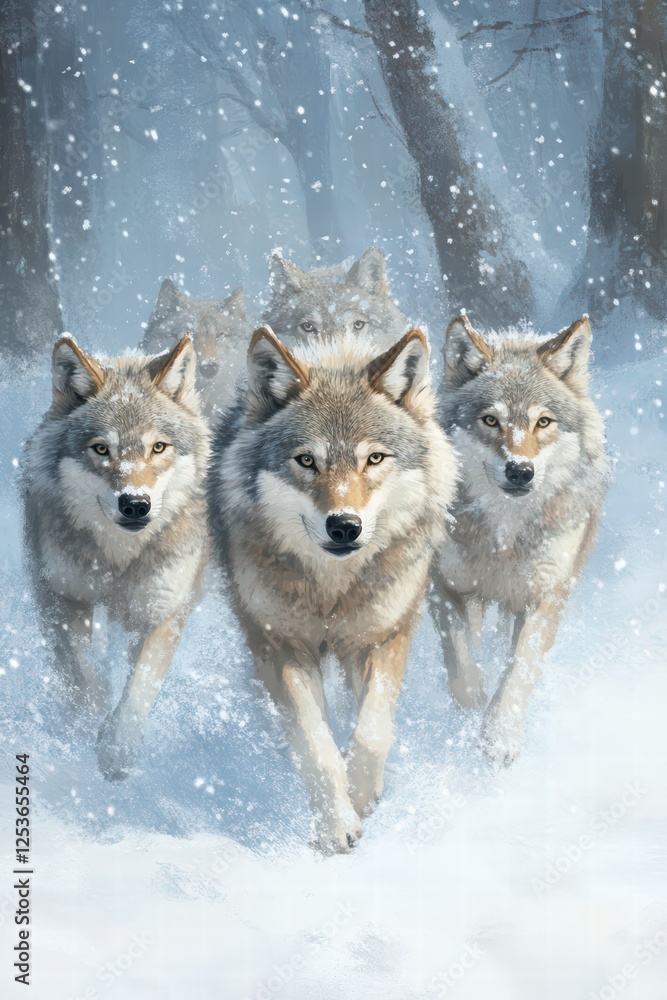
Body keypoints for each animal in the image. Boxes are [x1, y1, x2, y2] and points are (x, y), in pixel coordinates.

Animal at [23, 335, 210, 780]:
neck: (118, 560)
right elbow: (79, 674)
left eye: (158, 447)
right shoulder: (60, 597)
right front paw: (90, 717)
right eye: (101, 449)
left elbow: (139, 687)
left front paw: (118, 750)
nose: (135, 504)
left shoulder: (162, 611)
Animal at [209, 326, 458, 852]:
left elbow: (372, 732)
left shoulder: (383, 637)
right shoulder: (281, 643)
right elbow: (313, 742)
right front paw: (335, 824)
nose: (344, 526)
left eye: (374, 459)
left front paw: (362, 794)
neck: (332, 591)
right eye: (306, 460)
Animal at [429, 314, 610, 766]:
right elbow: (457, 651)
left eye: (543, 422)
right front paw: (473, 698)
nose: (520, 471)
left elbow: (521, 667)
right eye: (490, 420)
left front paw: (500, 735)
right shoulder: (442, 583)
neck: (504, 537)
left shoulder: (546, 594)